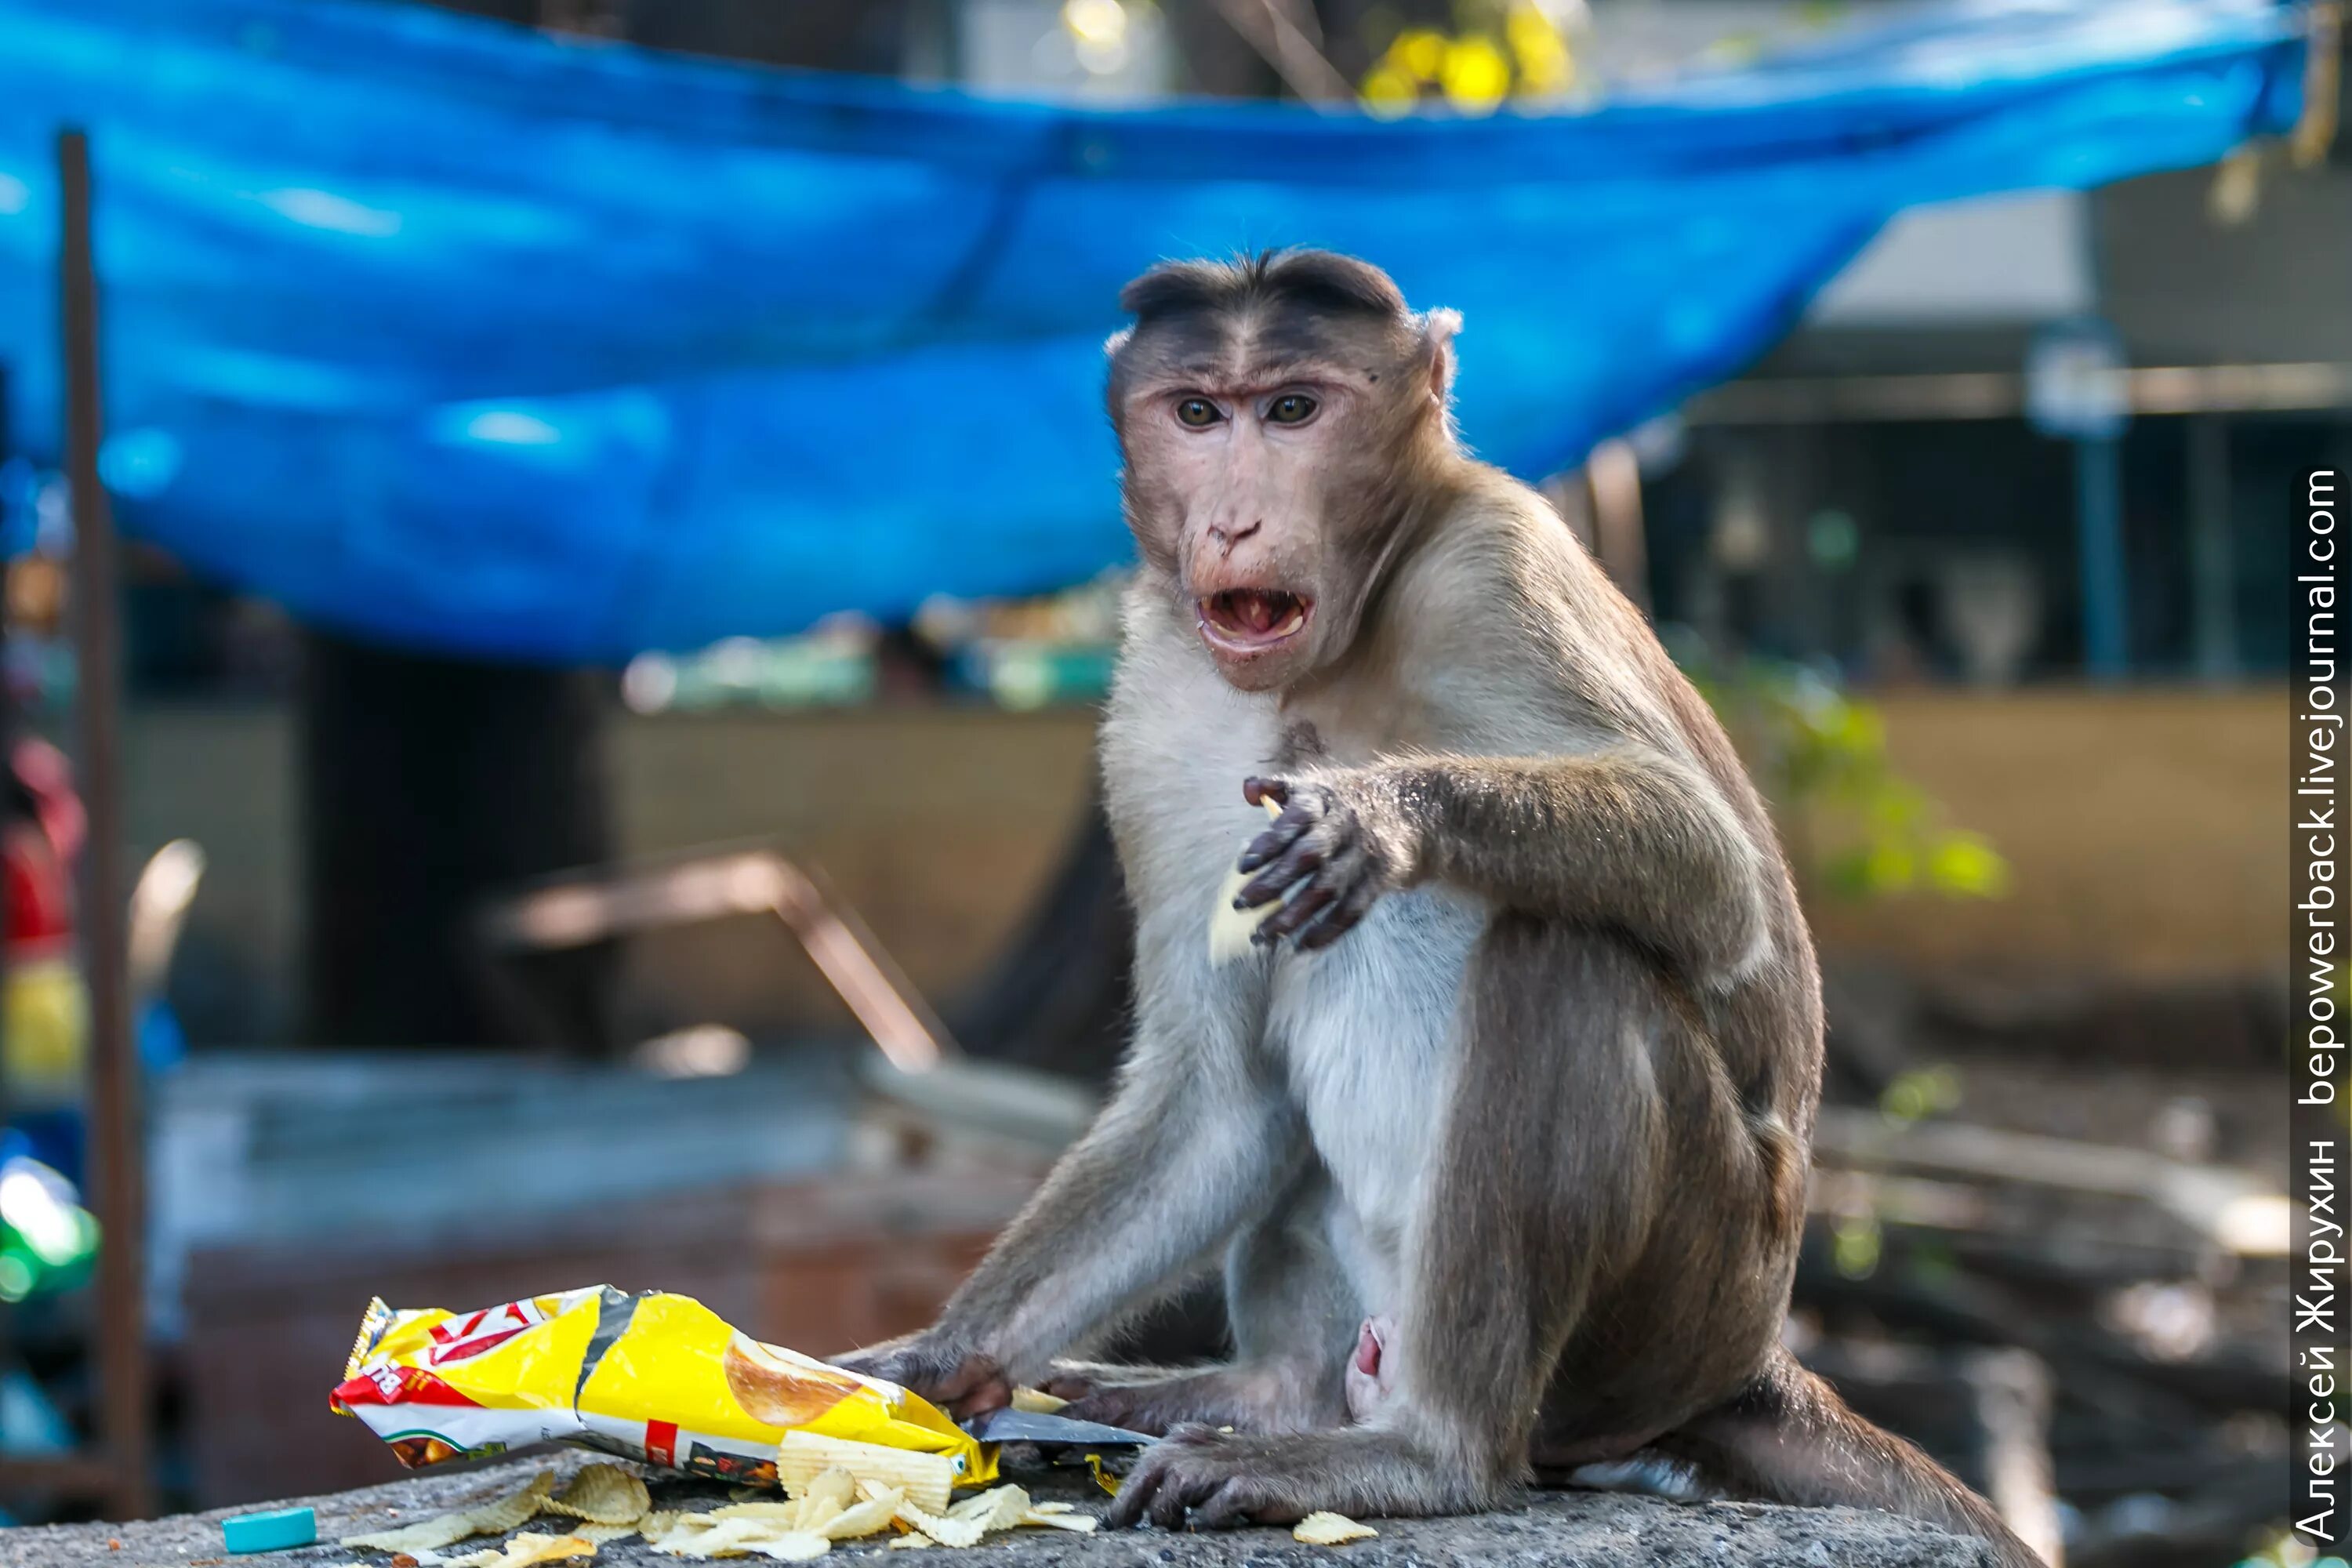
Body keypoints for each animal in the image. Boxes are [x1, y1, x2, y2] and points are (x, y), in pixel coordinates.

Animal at [847, 251, 2042, 1561]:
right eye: (1199, 413)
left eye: (1294, 410)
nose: (1235, 519)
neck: (1331, 653)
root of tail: (1754, 1360)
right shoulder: (1157, 704)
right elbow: (1219, 1093)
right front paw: (938, 1362)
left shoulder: (1490, 566)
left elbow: (1718, 875)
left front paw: (1381, 812)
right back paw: (1267, 1394)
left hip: (1688, 1304)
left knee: (1568, 956)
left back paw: (1428, 1455)